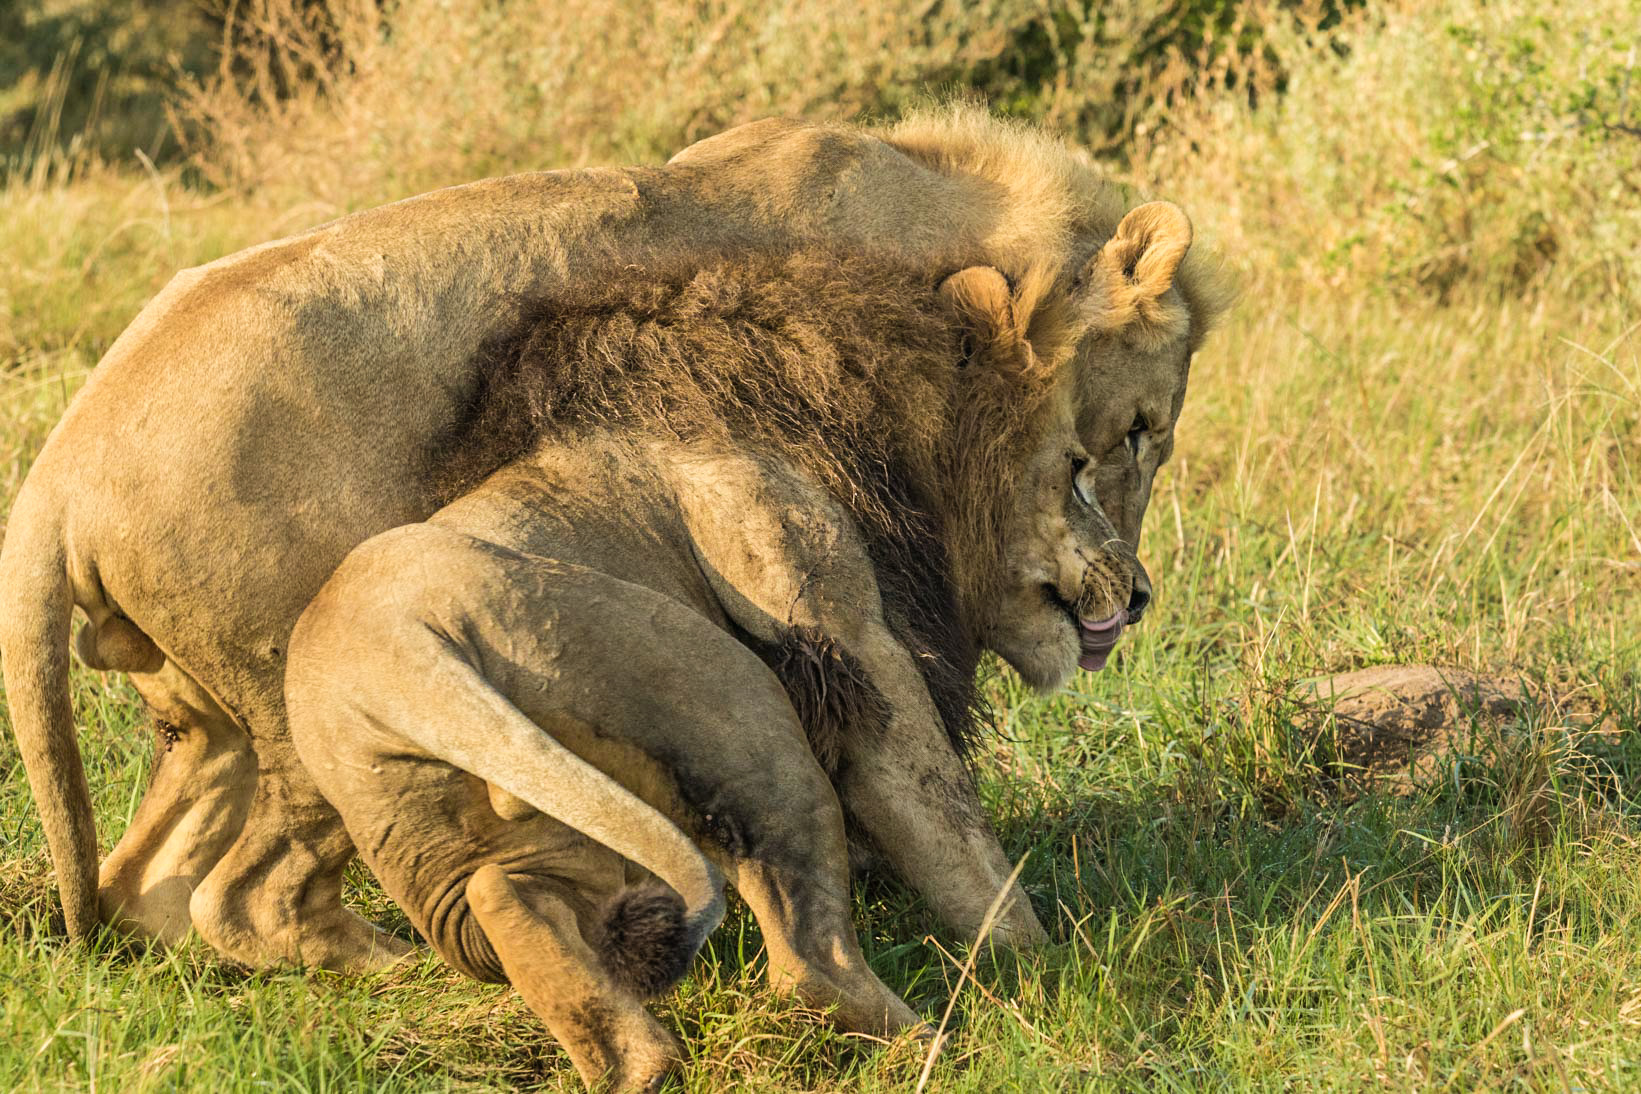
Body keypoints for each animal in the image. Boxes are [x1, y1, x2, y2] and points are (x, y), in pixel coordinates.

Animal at [0, 106, 1234, 970]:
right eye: (1134, 434)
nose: (1136, 596)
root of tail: (55, 477)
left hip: (203, 721)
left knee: (148, 881)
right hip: (290, 698)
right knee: (242, 894)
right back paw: (402, 966)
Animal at [288, 252, 1142, 1089]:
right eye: (1075, 467)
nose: (1139, 595)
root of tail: (394, 659)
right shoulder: (832, 609)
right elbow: (943, 816)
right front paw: (1040, 960)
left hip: (505, 819)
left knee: (505, 892)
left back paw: (637, 1066)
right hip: (723, 695)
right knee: (808, 964)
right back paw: (933, 1046)